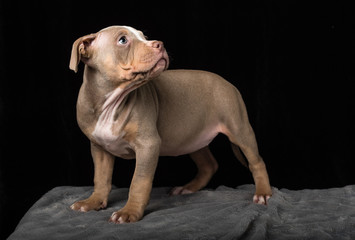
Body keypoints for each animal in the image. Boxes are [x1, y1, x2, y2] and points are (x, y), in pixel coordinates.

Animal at [69, 25, 272, 223]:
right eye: (123, 40)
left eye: (144, 36)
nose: (159, 44)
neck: (111, 102)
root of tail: (227, 83)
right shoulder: (99, 147)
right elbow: (101, 178)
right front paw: (92, 202)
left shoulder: (148, 145)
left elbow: (139, 181)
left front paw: (129, 212)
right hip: (193, 138)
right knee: (209, 165)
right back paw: (188, 188)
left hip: (239, 128)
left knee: (257, 162)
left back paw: (263, 193)